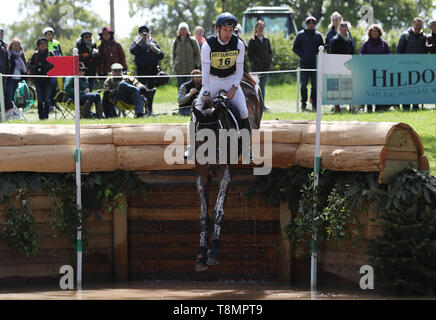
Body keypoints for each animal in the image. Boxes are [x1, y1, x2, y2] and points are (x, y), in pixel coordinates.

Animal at [190, 74, 262, 272]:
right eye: (199, 136)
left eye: (219, 133)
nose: (212, 163)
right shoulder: (201, 176)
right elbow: (203, 215)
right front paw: (201, 254)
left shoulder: (225, 173)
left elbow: (218, 210)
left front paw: (213, 251)